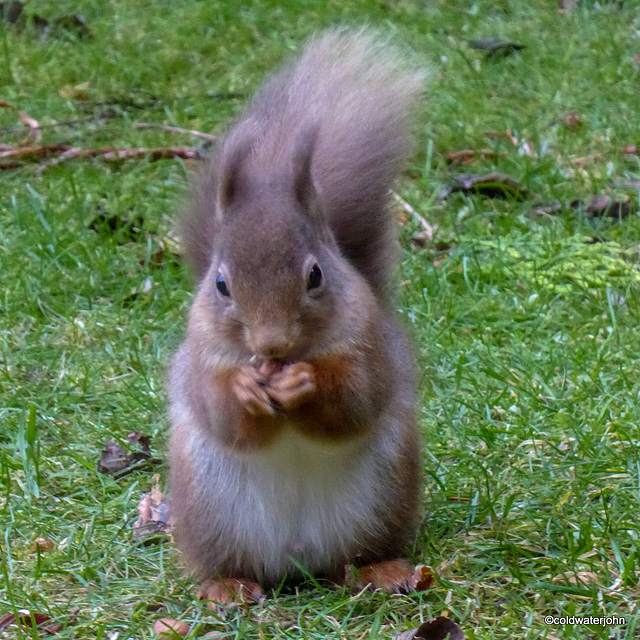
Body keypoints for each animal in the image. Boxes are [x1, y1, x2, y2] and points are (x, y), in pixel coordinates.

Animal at [168, 26, 424, 604]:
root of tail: (296, 562)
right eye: (220, 284)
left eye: (316, 275)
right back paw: (227, 586)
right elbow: (220, 412)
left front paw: (305, 383)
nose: (272, 345)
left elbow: (353, 400)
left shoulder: (368, 346)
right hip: (207, 510)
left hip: (384, 497)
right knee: (225, 563)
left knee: (358, 556)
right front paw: (244, 388)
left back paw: (382, 570)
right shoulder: (201, 357)